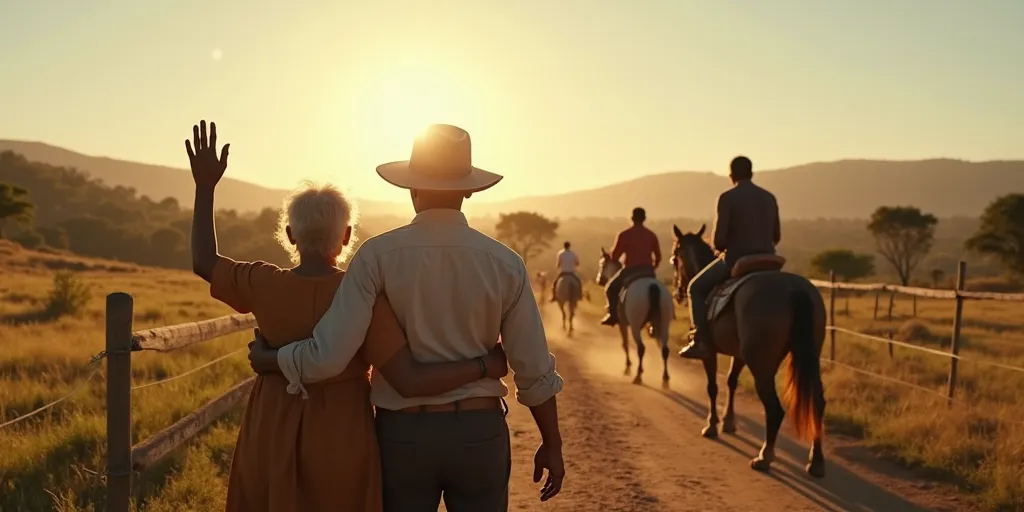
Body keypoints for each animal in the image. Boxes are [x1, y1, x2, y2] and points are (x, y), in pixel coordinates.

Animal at [598, 247, 675, 385]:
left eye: (601, 264)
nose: (599, 280)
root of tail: (652, 286)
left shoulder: (622, 324)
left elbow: (625, 344)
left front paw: (627, 368)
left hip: (635, 325)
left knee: (641, 348)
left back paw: (638, 375)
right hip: (664, 324)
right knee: (665, 349)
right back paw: (665, 378)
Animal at [671, 224, 831, 475]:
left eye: (675, 256)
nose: (677, 292)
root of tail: (793, 289)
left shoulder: (709, 353)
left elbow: (712, 387)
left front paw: (712, 426)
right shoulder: (738, 355)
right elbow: (731, 381)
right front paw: (728, 422)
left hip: (762, 366)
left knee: (774, 410)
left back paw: (764, 457)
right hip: (810, 358)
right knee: (817, 403)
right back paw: (816, 462)